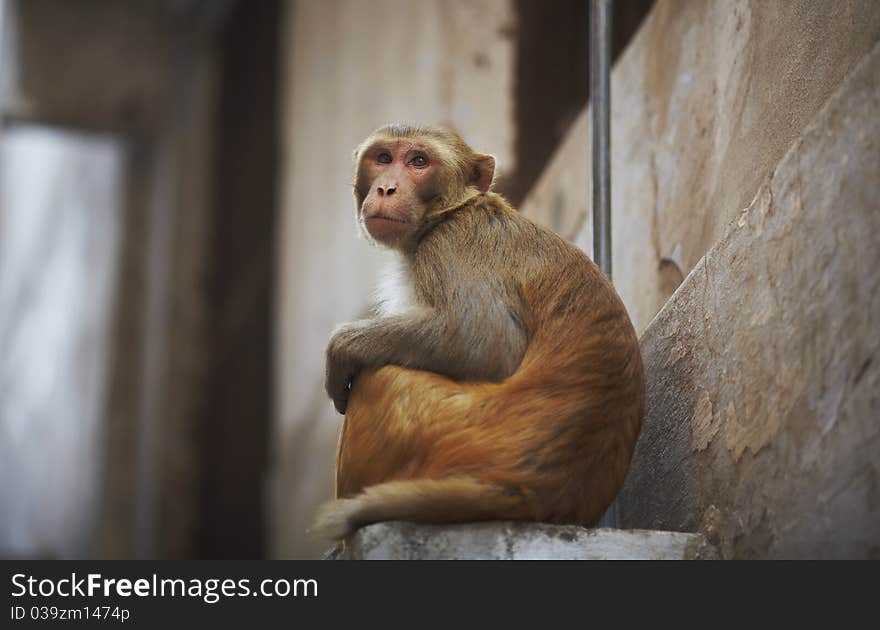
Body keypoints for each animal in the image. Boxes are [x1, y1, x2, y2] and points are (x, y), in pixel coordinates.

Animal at [312, 124, 644, 544]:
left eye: (418, 161)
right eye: (383, 158)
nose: (386, 188)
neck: (449, 213)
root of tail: (533, 492)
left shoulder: (451, 245)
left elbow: (483, 341)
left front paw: (340, 349)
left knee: (379, 377)